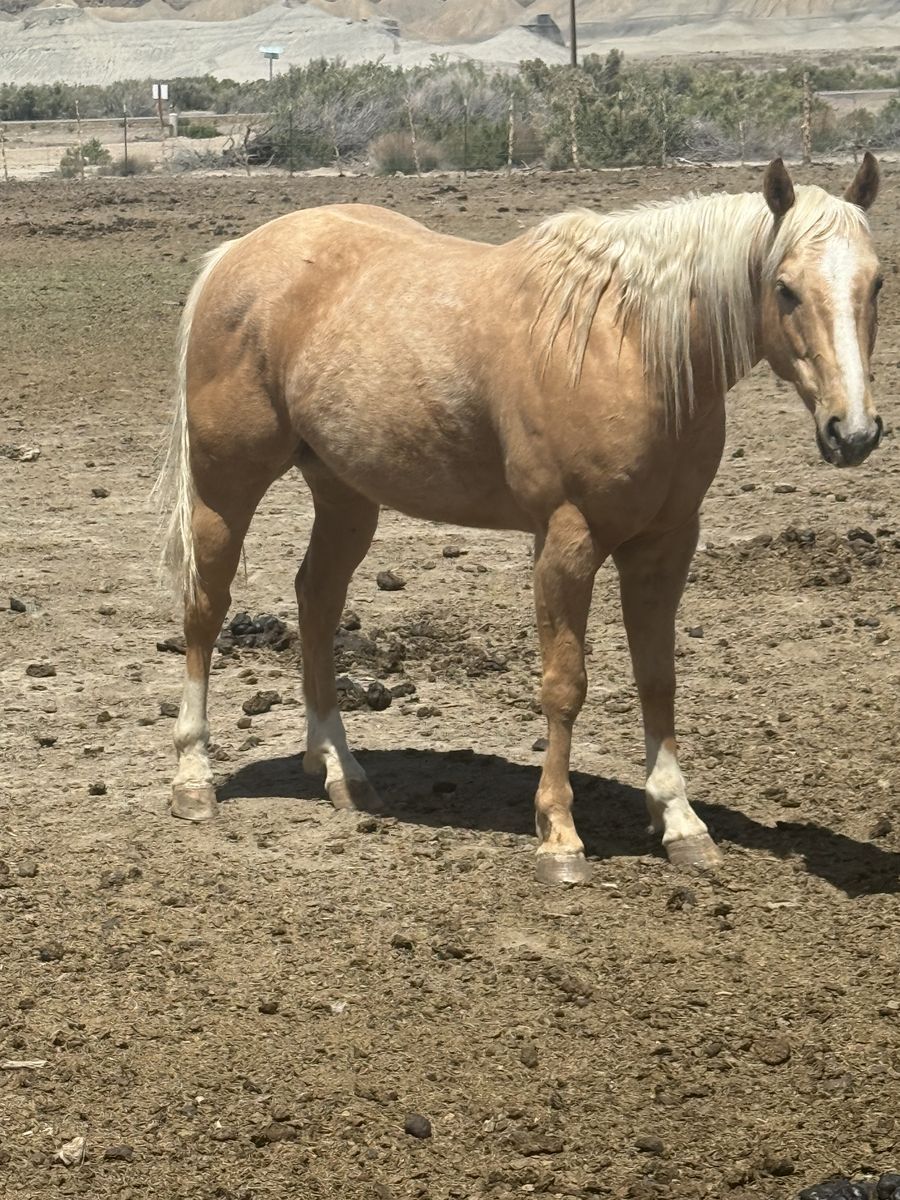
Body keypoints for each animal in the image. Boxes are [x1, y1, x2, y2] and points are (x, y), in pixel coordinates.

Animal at [155, 154, 882, 885]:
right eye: (785, 289)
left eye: (877, 280)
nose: (853, 432)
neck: (630, 347)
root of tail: (235, 255)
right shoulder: (566, 541)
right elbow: (565, 686)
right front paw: (559, 836)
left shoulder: (667, 542)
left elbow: (658, 677)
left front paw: (679, 820)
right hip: (225, 487)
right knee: (206, 609)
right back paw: (194, 778)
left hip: (345, 494)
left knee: (318, 600)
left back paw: (340, 768)